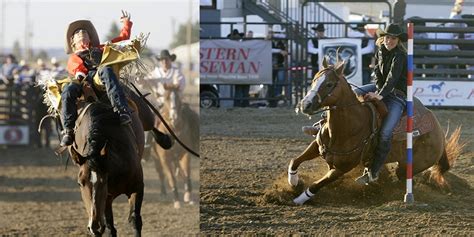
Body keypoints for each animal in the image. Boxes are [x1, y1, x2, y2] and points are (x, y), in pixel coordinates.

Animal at [286, 58, 462, 205]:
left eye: (329, 84)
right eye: (314, 80)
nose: (305, 104)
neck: (347, 128)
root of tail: (439, 133)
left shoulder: (342, 168)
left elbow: (317, 185)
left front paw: (299, 199)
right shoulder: (318, 146)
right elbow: (295, 160)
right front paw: (293, 182)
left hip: (409, 166)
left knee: (401, 180)